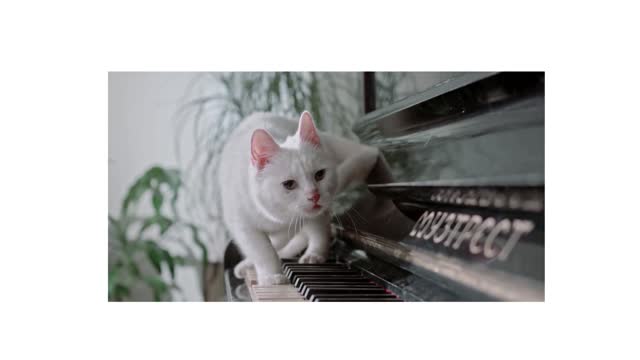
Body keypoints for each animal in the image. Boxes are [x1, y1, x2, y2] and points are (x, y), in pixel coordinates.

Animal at [219, 111, 380, 286]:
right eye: (289, 184)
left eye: (320, 174)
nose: (314, 195)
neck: (273, 217)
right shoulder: (243, 226)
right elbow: (263, 250)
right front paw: (271, 275)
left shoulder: (294, 223)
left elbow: (276, 244)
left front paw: (270, 274)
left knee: (320, 231)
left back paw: (314, 255)